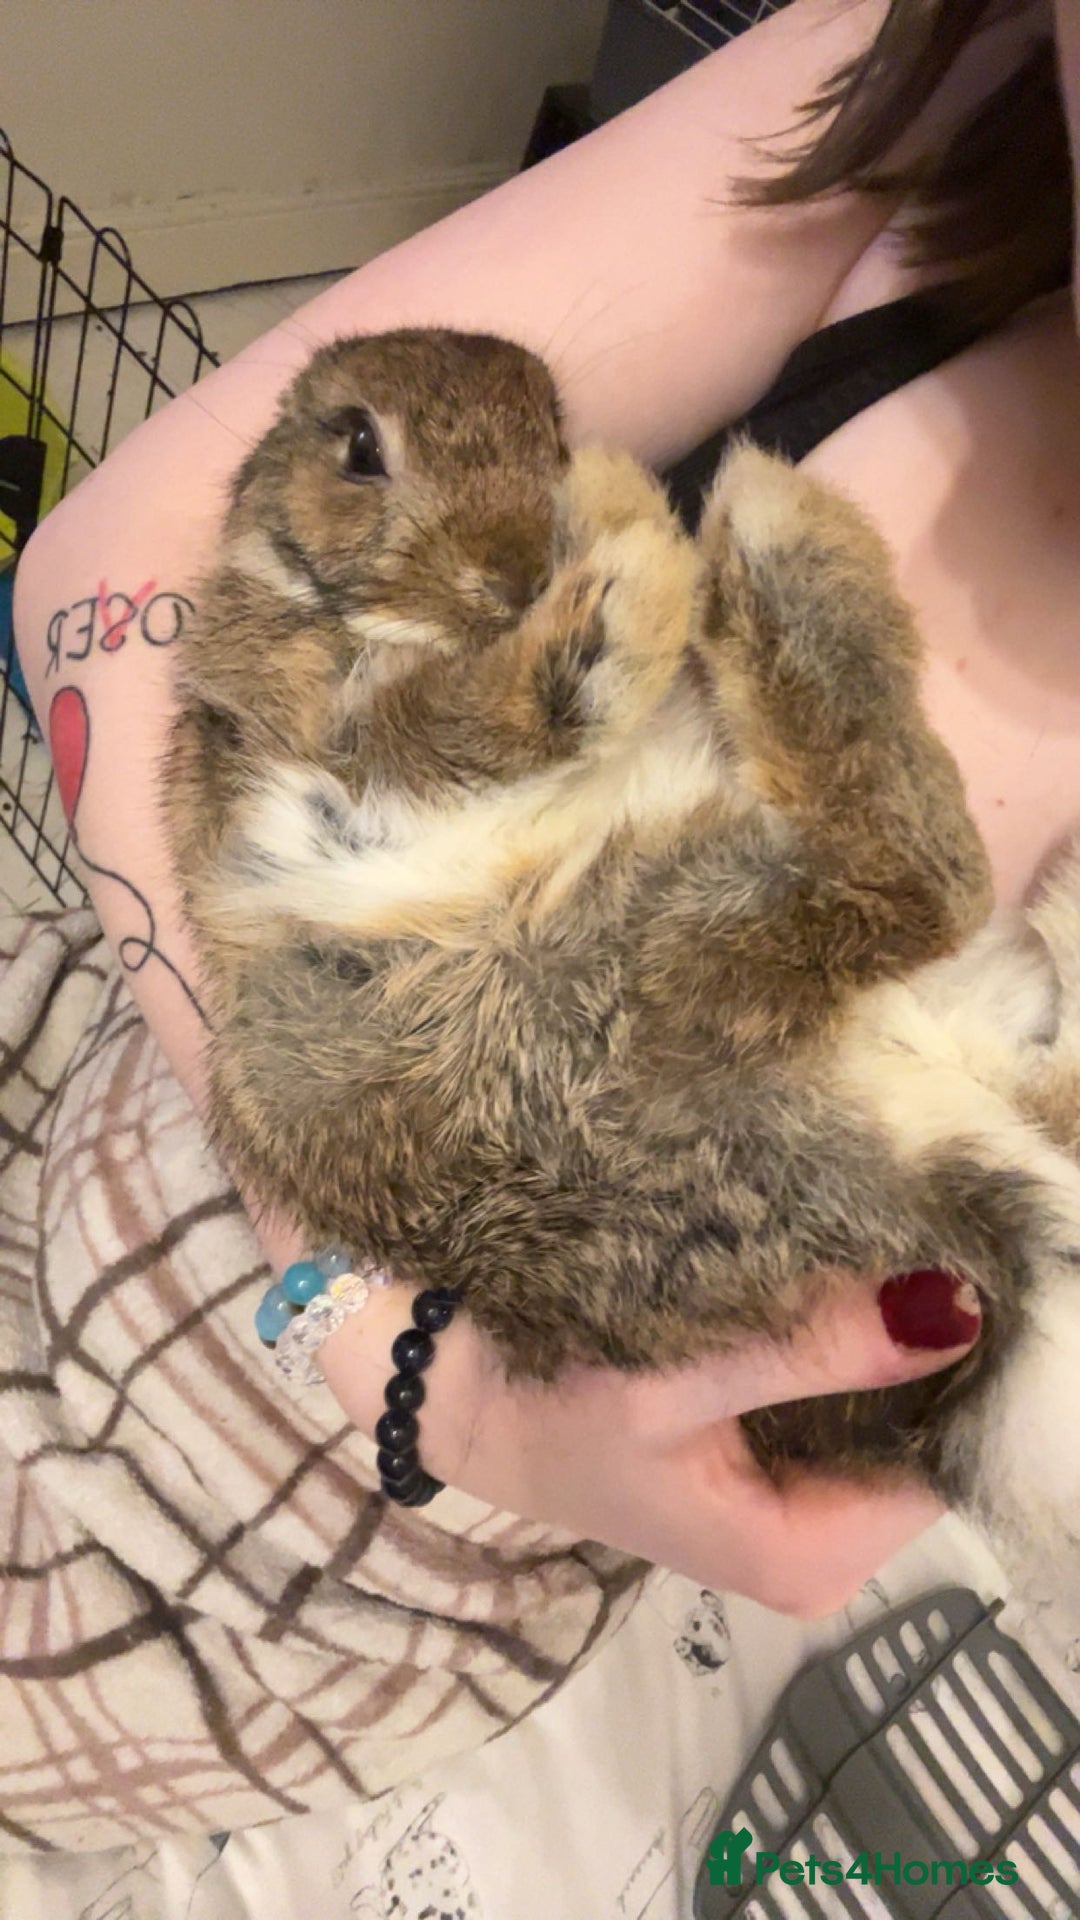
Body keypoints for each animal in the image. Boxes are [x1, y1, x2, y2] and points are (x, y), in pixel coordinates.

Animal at [164, 327, 1080, 1610]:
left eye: (546, 425)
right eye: (359, 448)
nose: (512, 571)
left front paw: (605, 502)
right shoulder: (343, 727)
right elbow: (497, 707)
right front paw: (629, 537)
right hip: (622, 974)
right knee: (913, 881)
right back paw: (764, 523)